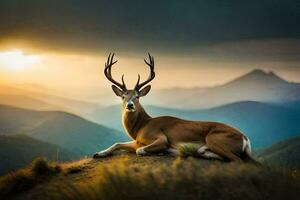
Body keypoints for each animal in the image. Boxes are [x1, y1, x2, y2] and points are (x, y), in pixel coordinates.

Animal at [92, 53, 256, 162]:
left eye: (137, 96)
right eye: (123, 96)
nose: (130, 105)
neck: (141, 127)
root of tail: (245, 138)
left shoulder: (160, 137)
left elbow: (140, 150)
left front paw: (162, 152)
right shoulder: (137, 141)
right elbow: (117, 143)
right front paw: (98, 153)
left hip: (214, 139)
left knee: (239, 160)